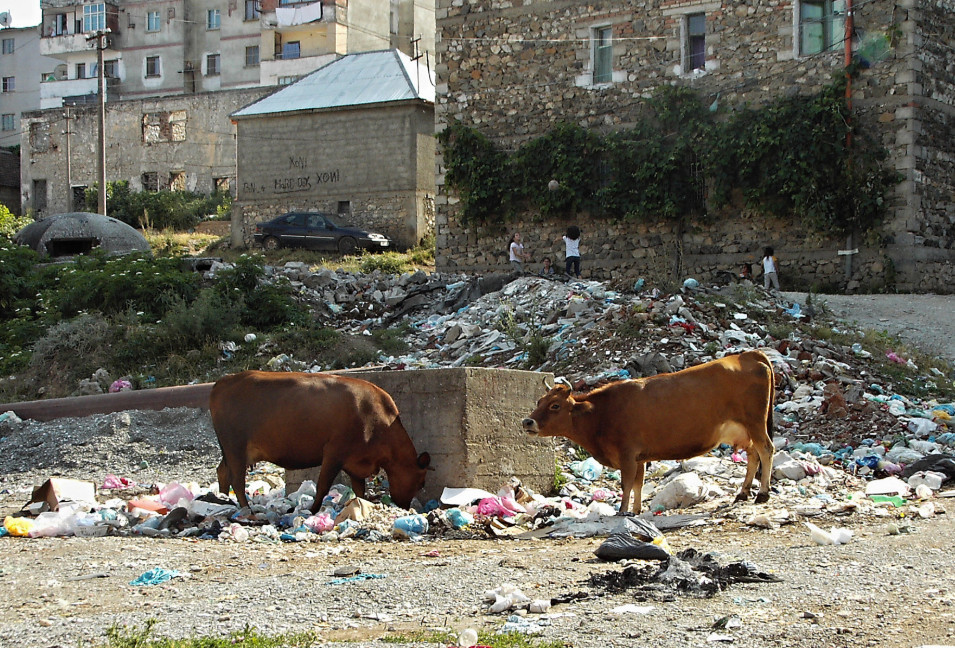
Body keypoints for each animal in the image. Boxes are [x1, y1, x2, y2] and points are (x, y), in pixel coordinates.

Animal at [213, 372, 434, 512]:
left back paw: (223, 501)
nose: (405, 507)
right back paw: (246, 510)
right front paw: (312, 510)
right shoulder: (334, 452)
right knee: (237, 480)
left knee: (222, 472)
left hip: (231, 450)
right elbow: (323, 485)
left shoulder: (356, 461)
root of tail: (225, 380)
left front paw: (363, 506)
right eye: (421, 482)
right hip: (235, 446)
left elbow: (359, 489)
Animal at [524, 352, 776, 512]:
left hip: (755, 423)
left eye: (555, 405)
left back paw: (762, 493)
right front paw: (636, 510)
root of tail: (748, 355)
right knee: (753, 455)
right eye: (539, 401)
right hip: (745, 430)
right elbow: (638, 483)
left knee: (766, 450)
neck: (601, 413)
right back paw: (743, 493)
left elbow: (626, 484)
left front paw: (622, 510)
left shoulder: (627, 454)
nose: (527, 422)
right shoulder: (640, 457)